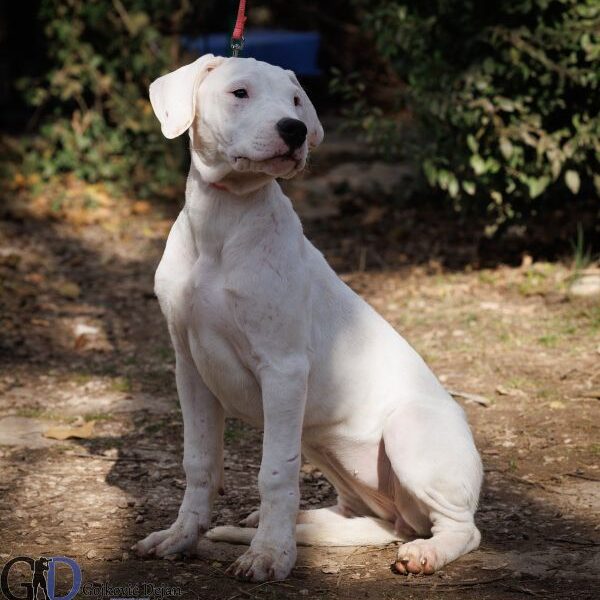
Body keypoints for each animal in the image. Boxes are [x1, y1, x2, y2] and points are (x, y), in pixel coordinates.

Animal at [135, 55, 482, 580]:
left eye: (296, 100)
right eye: (239, 93)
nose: (295, 130)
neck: (224, 219)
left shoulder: (283, 370)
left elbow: (275, 473)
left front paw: (269, 555)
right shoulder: (191, 369)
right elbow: (199, 463)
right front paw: (181, 537)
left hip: (407, 432)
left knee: (460, 528)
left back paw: (426, 552)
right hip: (328, 450)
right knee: (366, 518)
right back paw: (298, 524)